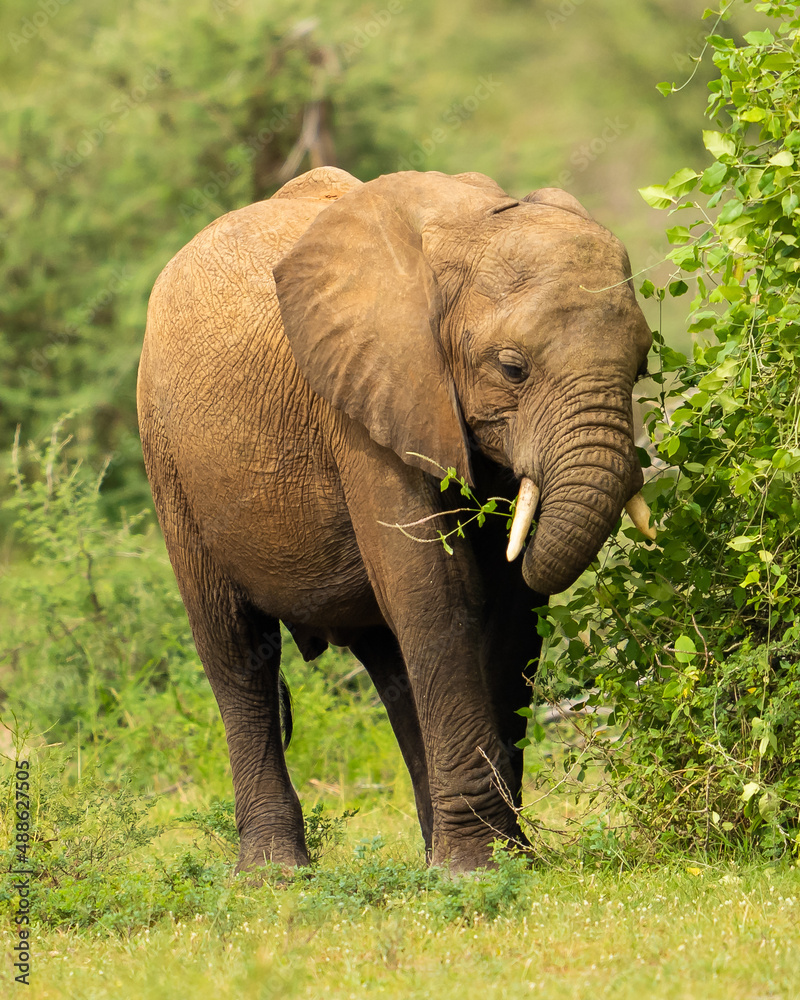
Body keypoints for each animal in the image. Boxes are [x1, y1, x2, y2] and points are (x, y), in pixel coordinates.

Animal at [138, 162, 652, 868]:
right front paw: (478, 870)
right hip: (167, 456)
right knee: (236, 650)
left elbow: (509, 611)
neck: (467, 231)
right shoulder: (363, 402)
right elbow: (434, 587)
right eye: (512, 368)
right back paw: (274, 874)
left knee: (391, 665)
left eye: (644, 363)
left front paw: (503, 860)